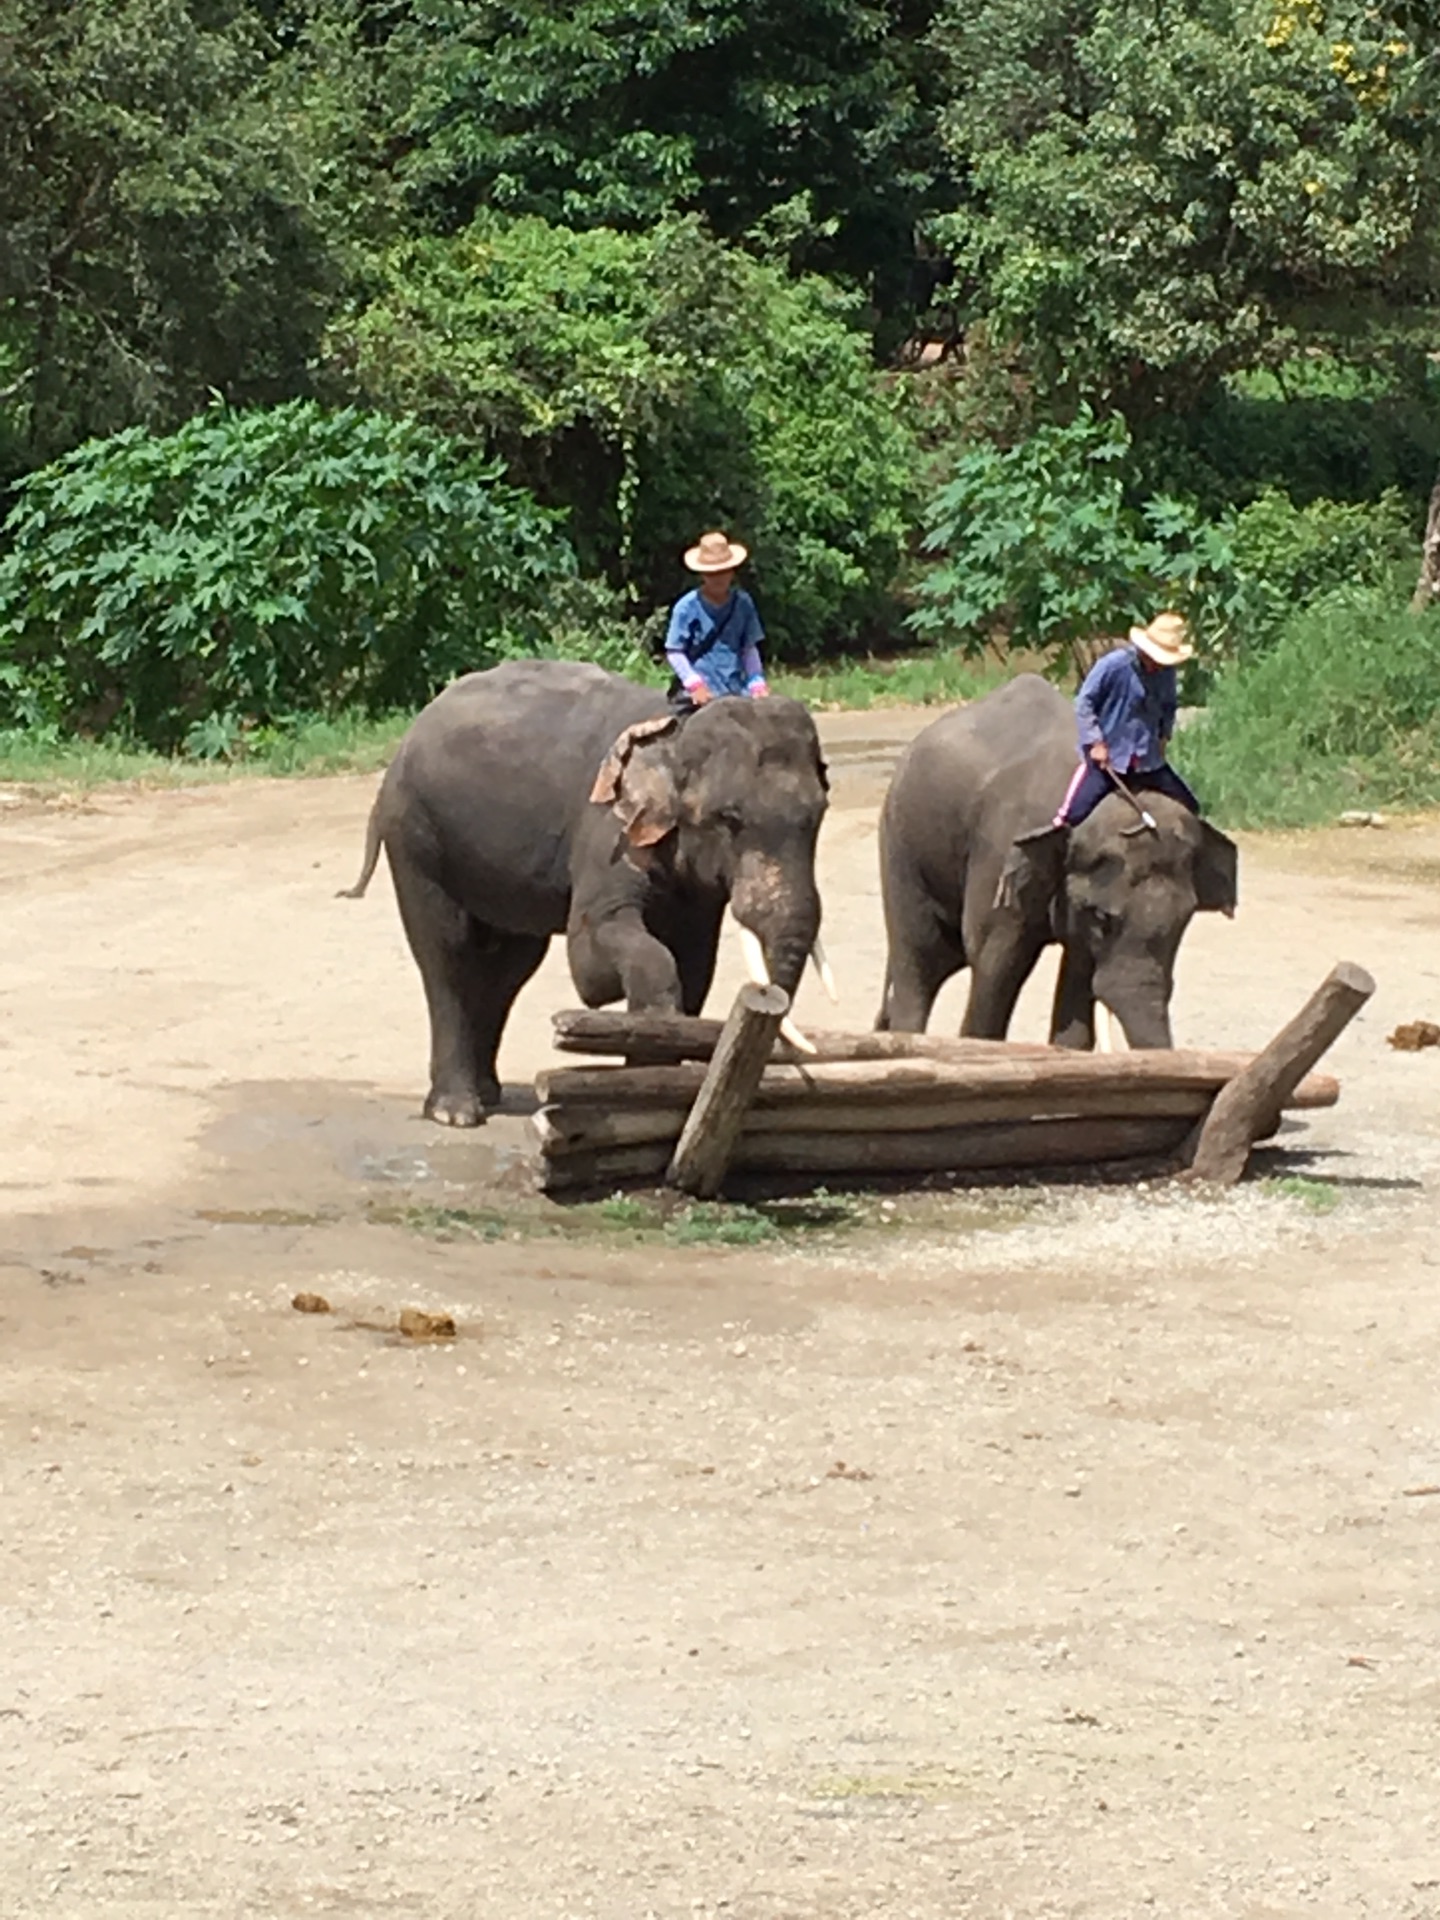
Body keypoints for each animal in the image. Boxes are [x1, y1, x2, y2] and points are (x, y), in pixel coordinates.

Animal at [341, 656, 833, 1121]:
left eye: (820, 813)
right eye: (729, 819)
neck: (676, 734)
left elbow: (696, 965)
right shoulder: (606, 831)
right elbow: (593, 964)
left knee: (510, 967)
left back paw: (487, 1093)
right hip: (416, 837)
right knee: (447, 954)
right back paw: (456, 1111)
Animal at [879, 675, 1244, 1052]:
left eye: (1184, 920)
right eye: (1102, 918)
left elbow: (1078, 980)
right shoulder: (997, 855)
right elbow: (994, 961)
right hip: (901, 849)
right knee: (920, 960)